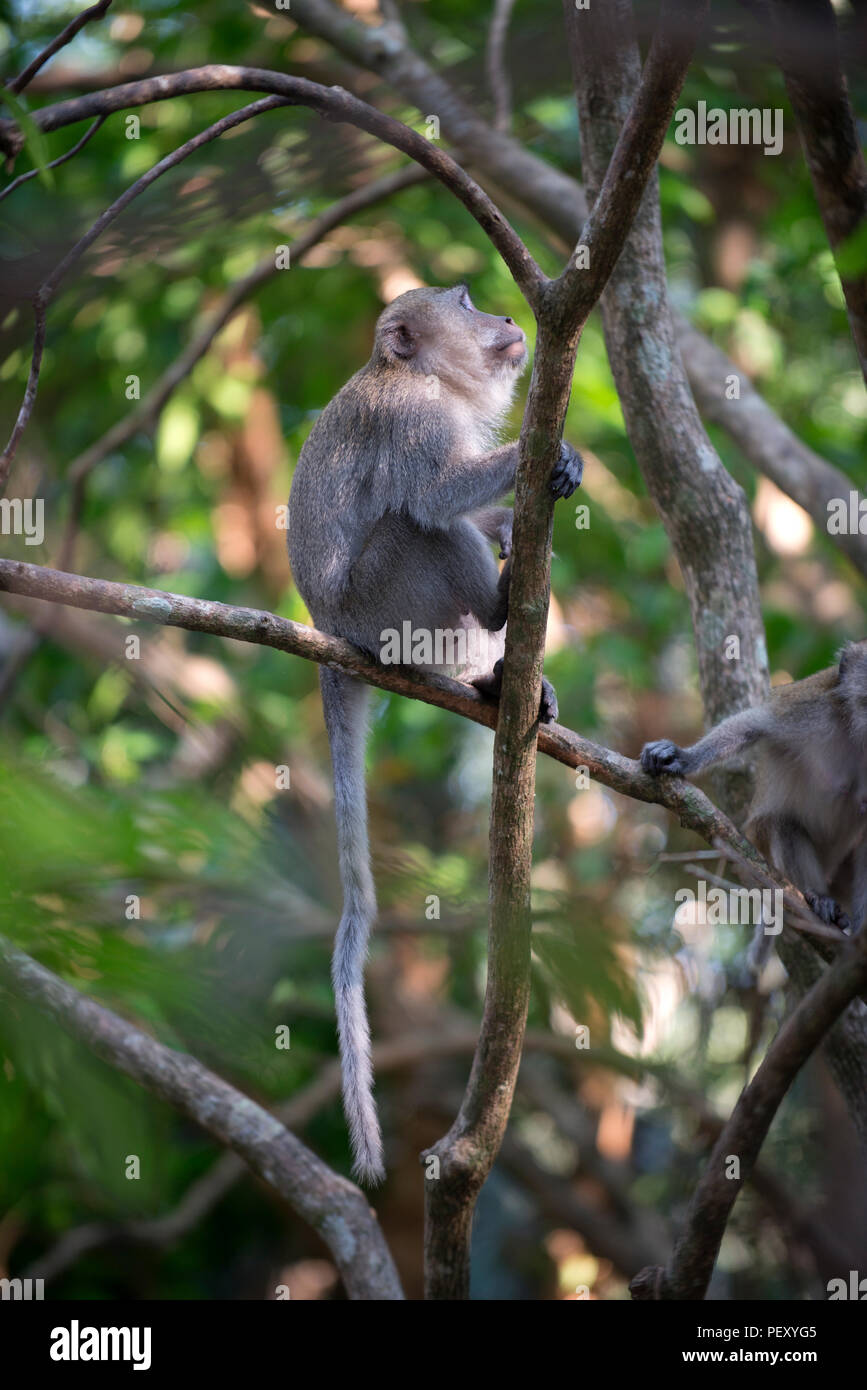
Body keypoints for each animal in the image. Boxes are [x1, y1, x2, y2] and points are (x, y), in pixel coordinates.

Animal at [287, 283, 583, 1182]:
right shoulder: (412, 420)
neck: (423, 379)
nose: (507, 317)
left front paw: (543, 488)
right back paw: (498, 604)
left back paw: (502, 681)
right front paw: (538, 454)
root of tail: (329, 629)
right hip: (384, 604)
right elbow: (435, 494)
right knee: (416, 525)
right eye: (463, 300)